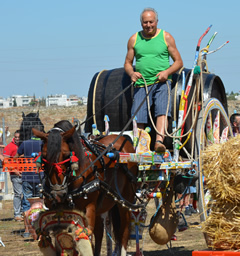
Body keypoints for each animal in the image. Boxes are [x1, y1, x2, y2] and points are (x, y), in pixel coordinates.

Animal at [32, 120, 138, 256]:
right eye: (44, 157)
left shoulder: (89, 208)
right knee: (99, 232)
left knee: (124, 230)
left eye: (66, 155)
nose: (58, 194)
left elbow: (86, 236)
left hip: (124, 200)